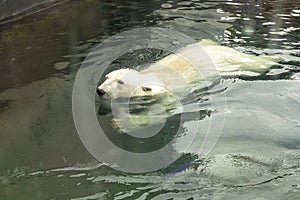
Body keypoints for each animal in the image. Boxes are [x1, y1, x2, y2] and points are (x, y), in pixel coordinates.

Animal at [96, 39, 282, 100]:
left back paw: (276, 58)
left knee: (256, 65)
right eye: (107, 77)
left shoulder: (173, 93)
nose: (100, 91)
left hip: (236, 62)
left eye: (121, 82)